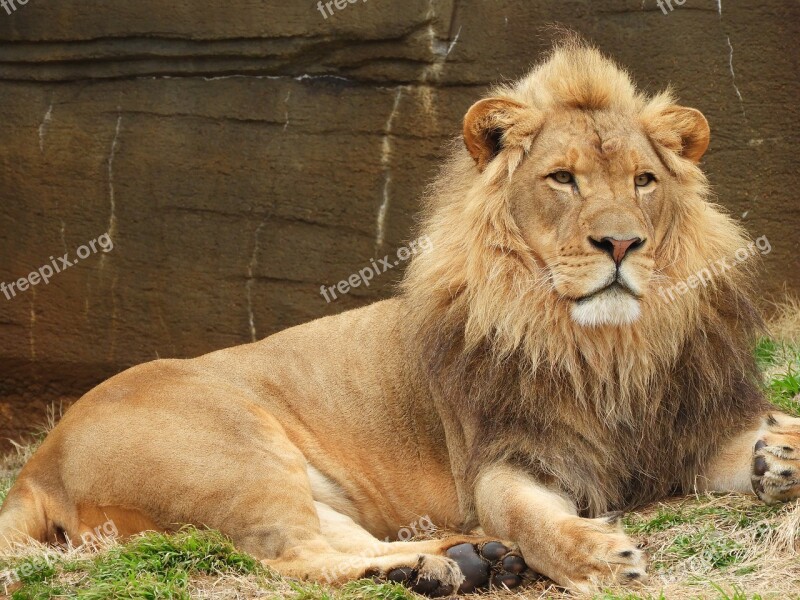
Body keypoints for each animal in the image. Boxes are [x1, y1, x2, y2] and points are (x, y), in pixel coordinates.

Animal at [1, 38, 800, 596]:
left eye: (643, 181)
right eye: (562, 179)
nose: (622, 243)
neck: (604, 347)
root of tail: (39, 460)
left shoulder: (690, 432)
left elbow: (758, 439)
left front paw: (780, 455)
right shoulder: (503, 457)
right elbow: (527, 515)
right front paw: (601, 558)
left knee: (338, 541)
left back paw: (462, 561)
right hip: (236, 452)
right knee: (294, 559)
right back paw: (435, 569)